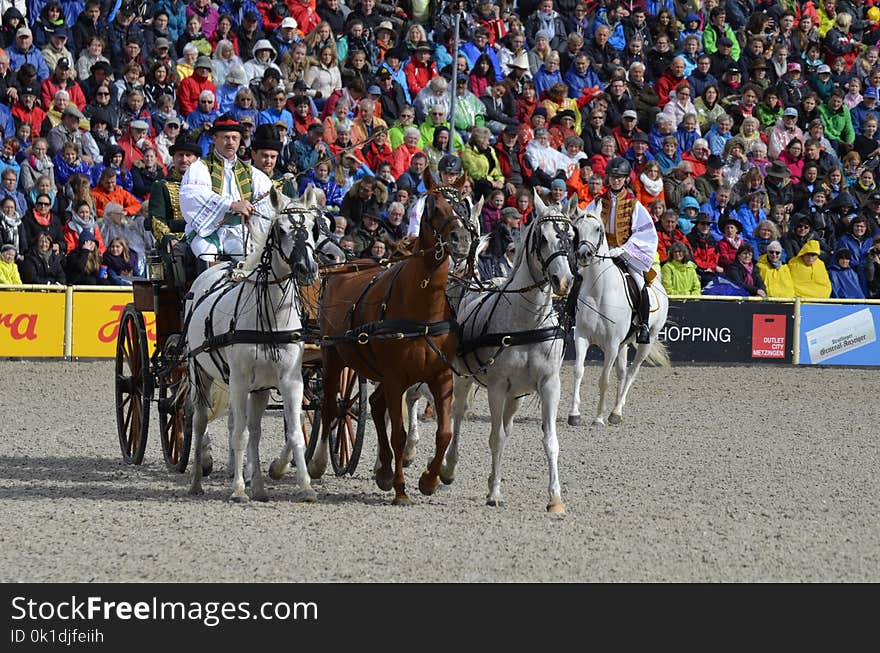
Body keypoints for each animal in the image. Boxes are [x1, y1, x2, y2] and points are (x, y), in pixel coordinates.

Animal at [188, 186, 324, 502]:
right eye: (281, 229)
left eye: (314, 227)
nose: (307, 268)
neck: (271, 318)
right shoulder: (238, 380)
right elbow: (239, 434)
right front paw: (238, 489)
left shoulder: (291, 380)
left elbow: (294, 433)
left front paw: (305, 486)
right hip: (199, 374)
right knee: (200, 422)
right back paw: (198, 479)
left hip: (259, 388)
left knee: (255, 428)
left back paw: (259, 486)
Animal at [318, 174, 482, 504]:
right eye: (432, 206)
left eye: (463, 204)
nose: (460, 239)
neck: (422, 309)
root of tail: (345, 267)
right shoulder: (395, 378)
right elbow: (398, 434)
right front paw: (401, 489)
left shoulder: (441, 376)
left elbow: (444, 433)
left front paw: (429, 480)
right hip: (333, 357)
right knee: (329, 408)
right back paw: (314, 463)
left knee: (374, 405)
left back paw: (383, 471)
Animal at [440, 191, 576, 512]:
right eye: (542, 238)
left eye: (570, 237)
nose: (564, 281)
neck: (527, 322)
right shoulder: (497, 386)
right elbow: (496, 439)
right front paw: (494, 493)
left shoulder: (549, 384)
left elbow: (550, 441)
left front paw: (555, 499)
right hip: (464, 378)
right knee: (458, 414)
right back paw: (448, 468)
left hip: (517, 395)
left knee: (506, 423)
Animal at [568, 210, 672, 428]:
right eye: (576, 228)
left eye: (597, 228)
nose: (583, 254)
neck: (599, 290)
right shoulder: (581, 337)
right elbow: (578, 371)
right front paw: (574, 414)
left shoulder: (612, 344)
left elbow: (604, 379)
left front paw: (598, 418)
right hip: (624, 345)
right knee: (622, 373)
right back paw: (615, 411)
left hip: (647, 341)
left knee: (632, 372)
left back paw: (616, 411)